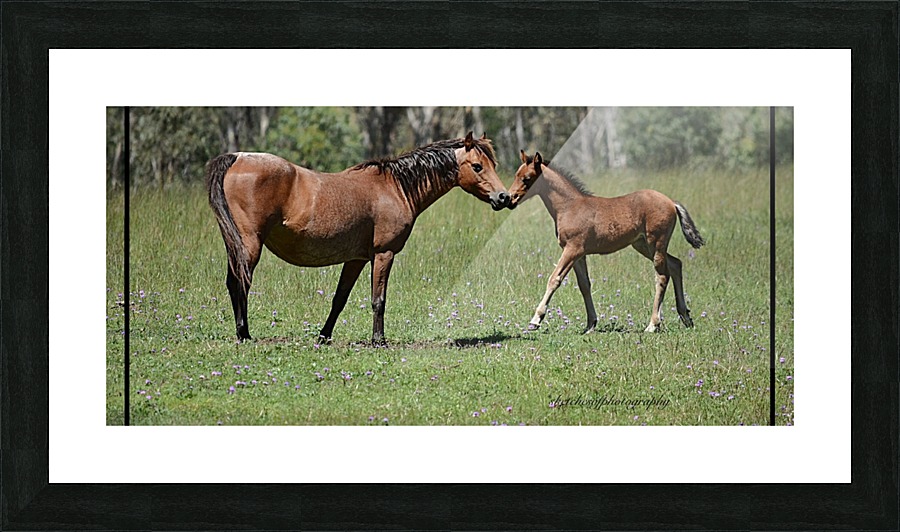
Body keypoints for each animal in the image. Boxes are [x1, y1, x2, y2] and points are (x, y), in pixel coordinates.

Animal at [206, 132, 510, 344]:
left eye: (491, 164)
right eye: (477, 166)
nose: (503, 197)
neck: (394, 187)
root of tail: (237, 157)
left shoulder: (356, 259)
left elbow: (339, 299)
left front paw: (324, 337)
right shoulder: (384, 254)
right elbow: (379, 300)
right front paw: (379, 341)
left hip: (235, 245)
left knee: (233, 283)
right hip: (250, 245)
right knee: (240, 283)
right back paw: (244, 334)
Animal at [507, 150, 705, 333]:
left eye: (527, 178)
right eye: (516, 174)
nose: (509, 198)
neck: (569, 206)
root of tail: (671, 202)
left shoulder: (572, 249)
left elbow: (554, 279)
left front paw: (535, 320)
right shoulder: (579, 254)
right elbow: (584, 285)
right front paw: (591, 324)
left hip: (656, 243)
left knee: (662, 276)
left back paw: (653, 324)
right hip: (643, 245)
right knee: (676, 264)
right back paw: (686, 317)